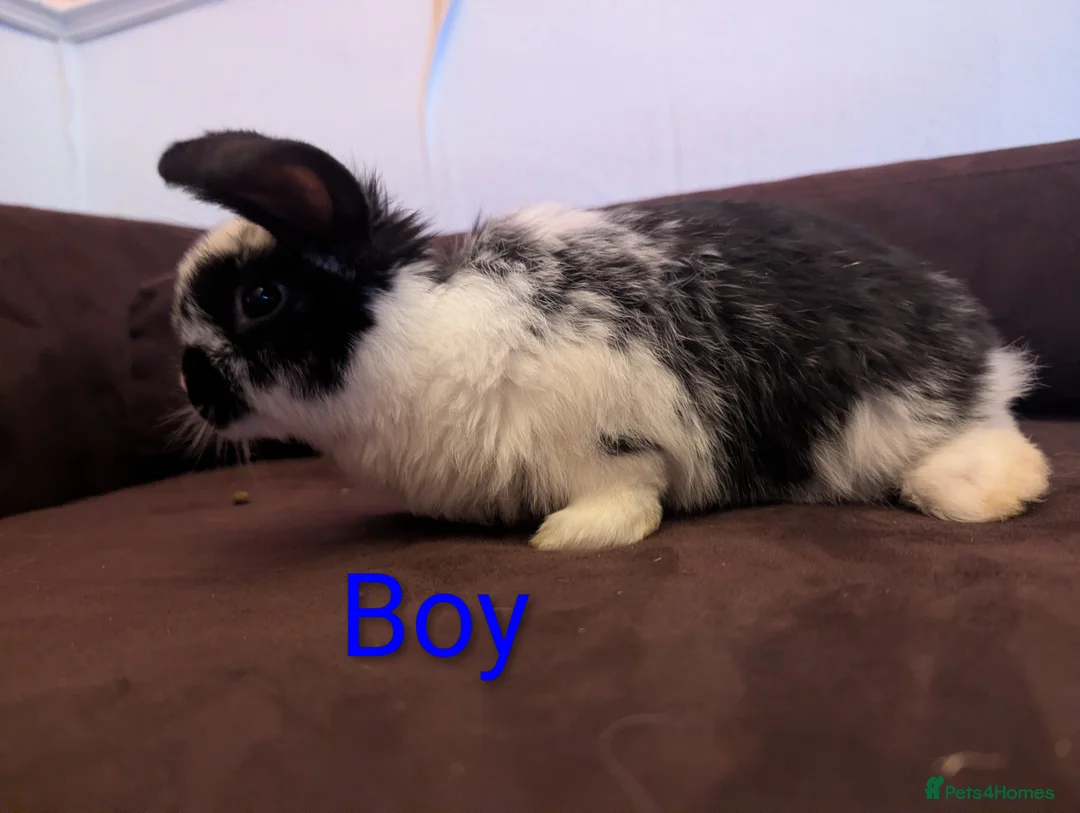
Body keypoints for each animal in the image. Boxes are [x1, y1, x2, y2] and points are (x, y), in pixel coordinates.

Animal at [159, 130, 1050, 551]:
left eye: (261, 298)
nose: (192, 389)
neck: (415, 334)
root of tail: (977, 343)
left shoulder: (605, 434)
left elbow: (625, 493)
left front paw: (568, 537)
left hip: (893, 415)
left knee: (987, 442)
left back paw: (990, 492)